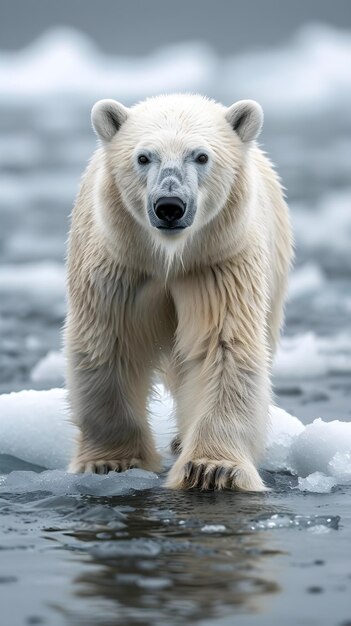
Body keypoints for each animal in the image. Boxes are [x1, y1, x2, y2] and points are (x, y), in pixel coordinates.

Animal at [66, 95, 294, 490]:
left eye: (201, 156)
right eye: (144, 157)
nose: (169, 206)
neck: (168, 256)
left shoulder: (216, 263)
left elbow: (223, 346)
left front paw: (212, 469)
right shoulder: (119, 263)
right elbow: (108, 343)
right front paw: (111, 462)